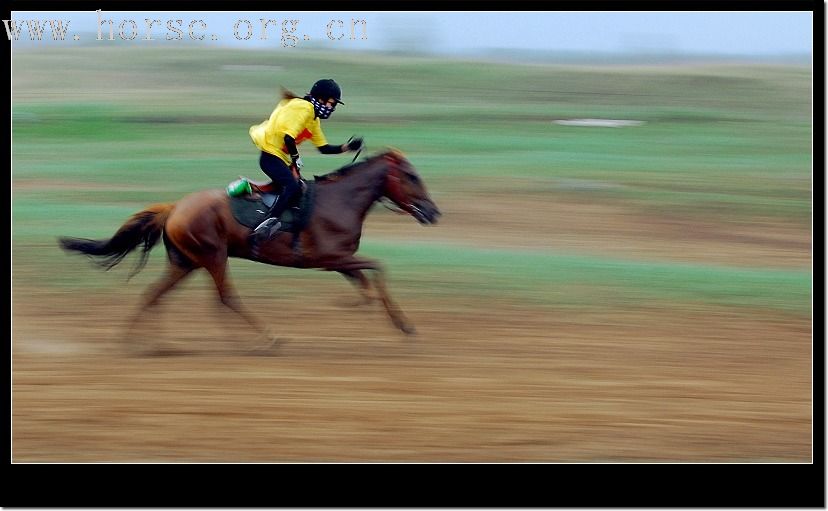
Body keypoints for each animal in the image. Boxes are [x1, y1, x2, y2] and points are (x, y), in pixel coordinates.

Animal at [58, 150, 440, 346]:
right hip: (212, 255)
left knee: (156, 293)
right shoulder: (330, 257)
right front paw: (399, 323)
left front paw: (371, 309)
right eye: (411, 176)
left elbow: (367, 280)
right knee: (226, 297)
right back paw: (265, 337)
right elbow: (377, 268)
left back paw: (146, 341)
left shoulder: (339, 261)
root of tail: (175, 207)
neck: (341, 201)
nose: (433, 212)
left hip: (185, 261)